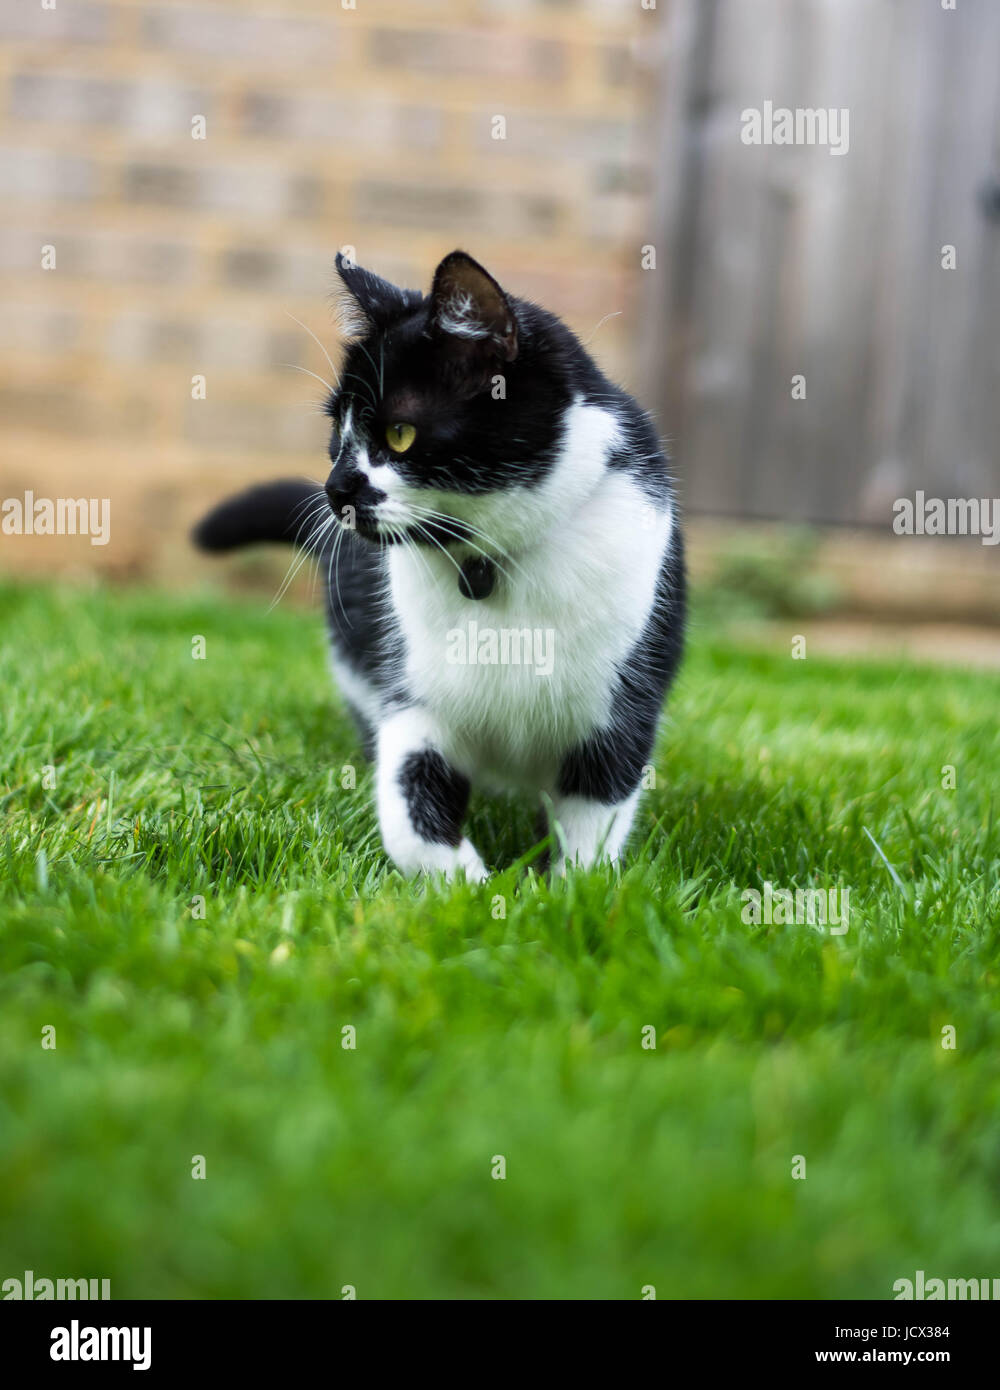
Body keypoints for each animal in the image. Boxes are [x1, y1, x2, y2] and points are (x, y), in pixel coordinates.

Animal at [191, 250, 684, 878]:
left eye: (400, 433)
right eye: (337, 432)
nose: (333, 489)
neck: (490, 561)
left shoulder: (621, 710)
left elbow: (594, 822)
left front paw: (566, 887)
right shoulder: (414, 698)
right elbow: (410, 810)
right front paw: (470, 884)